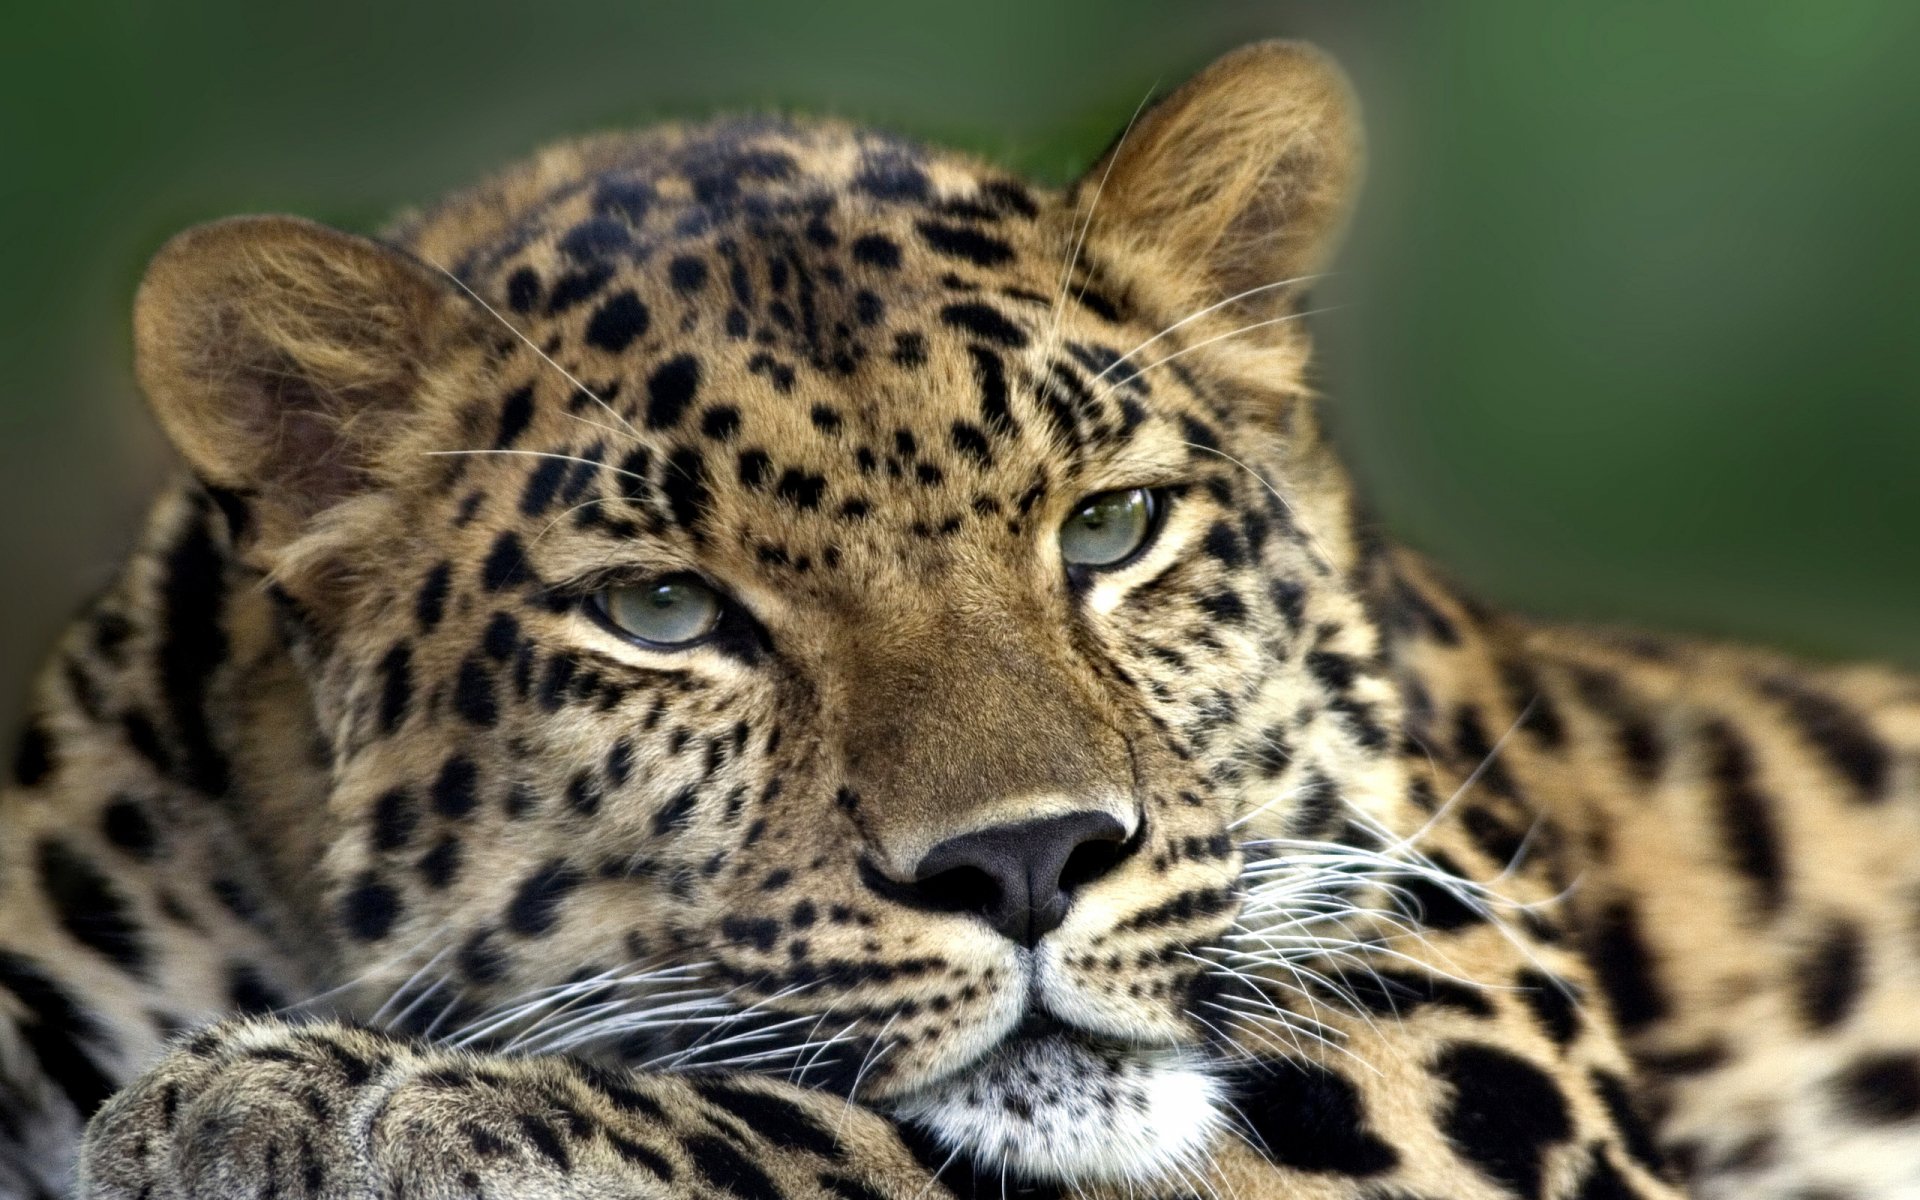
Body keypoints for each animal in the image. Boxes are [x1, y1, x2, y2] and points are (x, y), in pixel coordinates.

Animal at [3, 38, 1918, 1200]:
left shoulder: (1460, 1021)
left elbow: (856, 1134)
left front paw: (337, 1100)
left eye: (1112, 529)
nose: (1030, 862)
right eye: (664, 609)